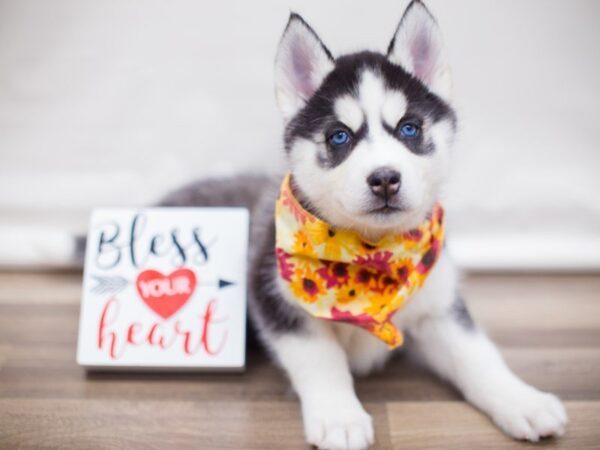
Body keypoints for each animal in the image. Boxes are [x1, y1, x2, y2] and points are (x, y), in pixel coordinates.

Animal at [161, 1, 568, 448]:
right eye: (339, 137)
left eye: (410, 128)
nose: (385, 178)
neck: (373, 254)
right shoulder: (272, 293)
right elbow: (321, 359)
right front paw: (339, 416)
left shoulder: (439, 305)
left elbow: (476, 354)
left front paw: (521, 400)